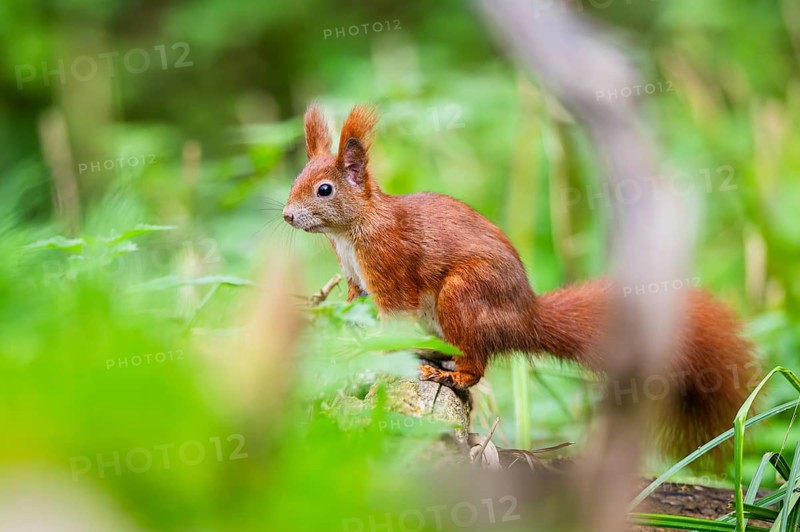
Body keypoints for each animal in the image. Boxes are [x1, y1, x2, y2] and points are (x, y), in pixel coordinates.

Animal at [282, 103, 758, 457]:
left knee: (476, 366)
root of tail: (523, 317)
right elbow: (350, 306)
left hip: (462, 296)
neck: (352, 231)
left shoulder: (389, 267)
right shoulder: (354, 278)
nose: (286, 215)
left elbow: (391, 318)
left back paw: (448, 375)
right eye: (296, 181)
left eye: (324, 189)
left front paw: (363, 352)